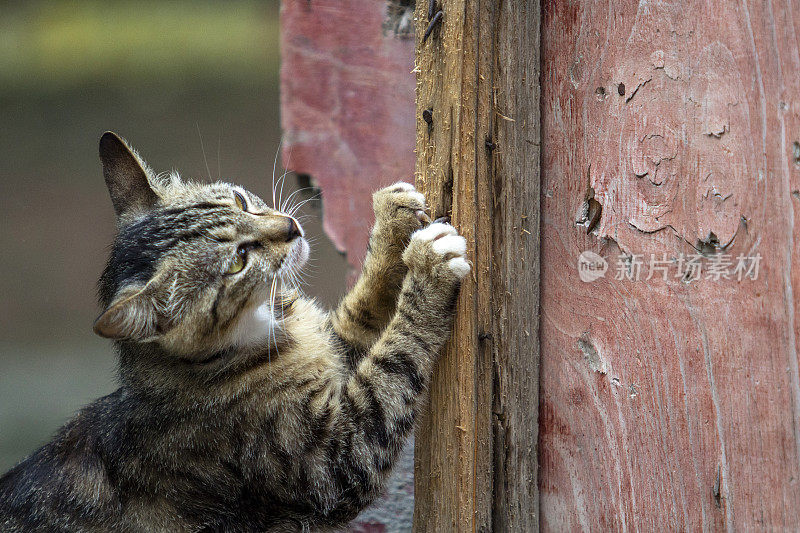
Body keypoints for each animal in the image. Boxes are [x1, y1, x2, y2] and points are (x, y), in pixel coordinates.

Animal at [0, 132, 468, 528]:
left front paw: (392, 223)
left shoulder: (334, 348)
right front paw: (429, 269)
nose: (291, 227)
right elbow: (396, 359)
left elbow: (363, 311)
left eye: (242, 202)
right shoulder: (337, 460)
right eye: (239, 259)